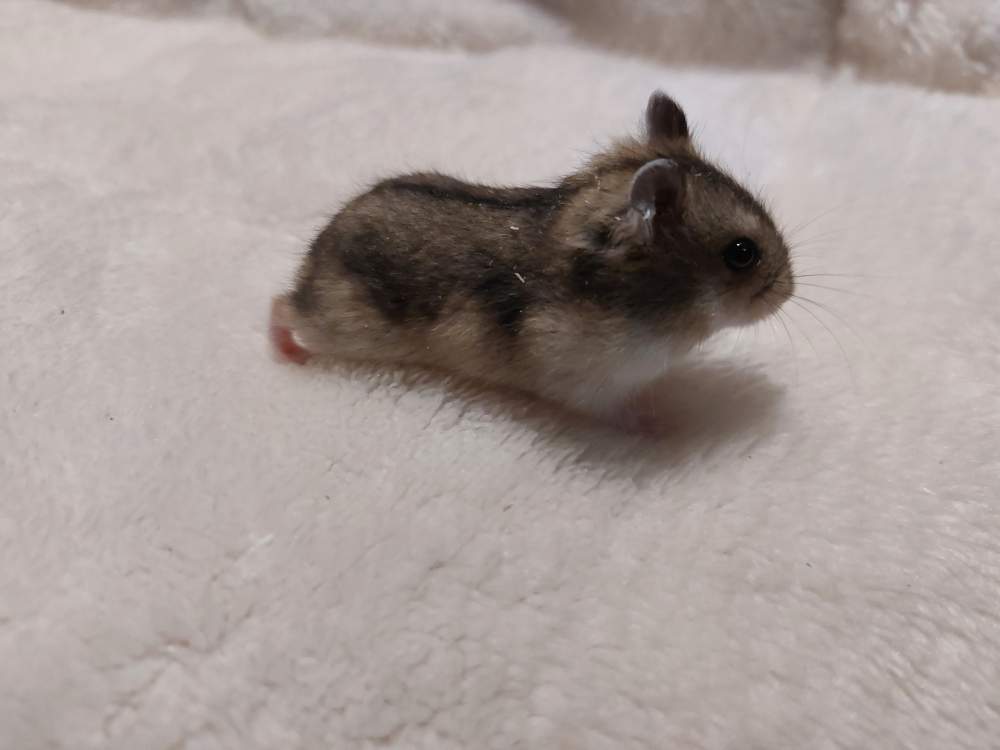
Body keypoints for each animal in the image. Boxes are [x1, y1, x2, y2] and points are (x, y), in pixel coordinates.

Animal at [270, 93, 792, 432]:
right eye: (742, 253)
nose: (789, 290)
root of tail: (314, 259)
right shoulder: (596, 386)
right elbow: (628, 415)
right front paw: (666, 425)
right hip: (336, 326)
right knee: (281, 305)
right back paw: (289, 355)